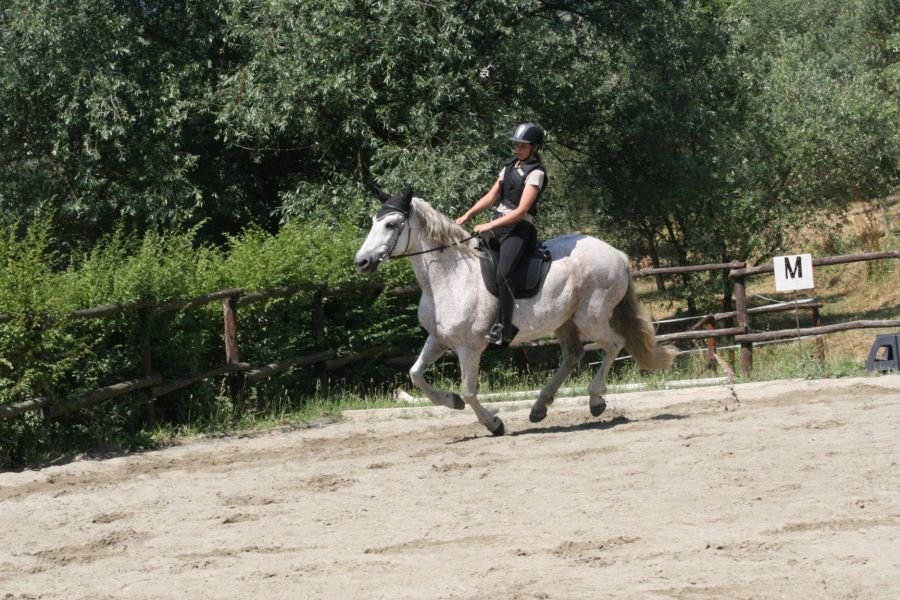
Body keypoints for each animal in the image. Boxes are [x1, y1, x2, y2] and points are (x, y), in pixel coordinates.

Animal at [354, 189, 676, 436]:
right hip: (564, 321)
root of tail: (617, 254)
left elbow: (469, 389)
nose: (362, 262)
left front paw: (493, 423)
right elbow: (415, 375)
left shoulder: (469, 347)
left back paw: (595, 401)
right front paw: (452, 401)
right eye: (374, 221)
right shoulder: (439, 339)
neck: (450, 276)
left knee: (614, 344)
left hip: (591, 318)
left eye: (391, 224)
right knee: (573, 354)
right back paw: (539, 407)